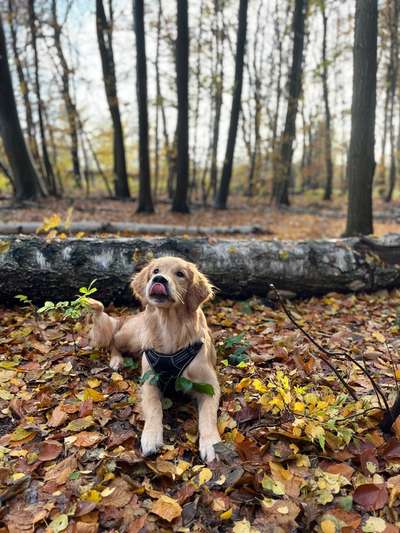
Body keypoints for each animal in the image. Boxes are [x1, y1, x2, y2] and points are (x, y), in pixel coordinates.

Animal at [86, 256, 222, 462]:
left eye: (180, 274)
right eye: (155, 270)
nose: (159, 279)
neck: (170, 328)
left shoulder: (209, 385)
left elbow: (208, 416)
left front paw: (211, 443)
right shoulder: (149, 381)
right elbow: (154, 407)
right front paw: (151, 436)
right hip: (132, 337)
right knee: (113, 341)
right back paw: (117, 360)